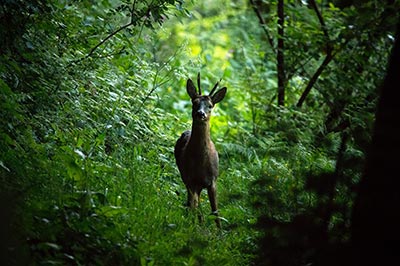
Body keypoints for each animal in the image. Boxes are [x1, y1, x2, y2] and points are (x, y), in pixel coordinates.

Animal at [173, 73, 227, 229]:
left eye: (210, 106)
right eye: (194, 102)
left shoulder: (213, 180)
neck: (201, 162)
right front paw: (196, 227)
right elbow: (196, 206)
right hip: (185, 176)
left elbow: (215, 211)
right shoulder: (191, 180)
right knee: (192, 204)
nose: (200, 113)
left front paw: (220, 231)